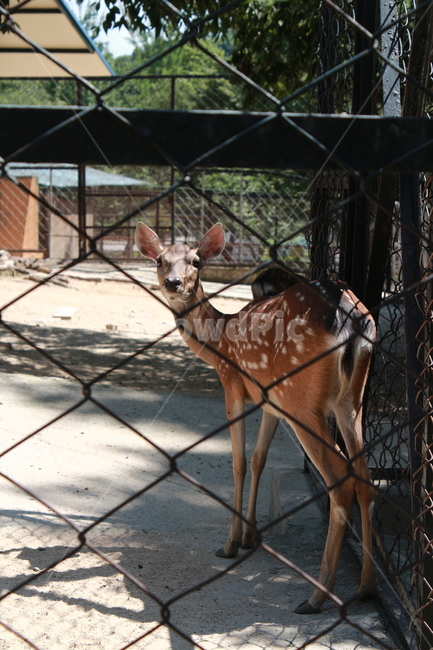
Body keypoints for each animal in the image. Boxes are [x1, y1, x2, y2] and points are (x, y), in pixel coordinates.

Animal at [135, 221, 376, 614]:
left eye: (197, 261)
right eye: (159, 259)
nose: (173, 283)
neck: (219, 343)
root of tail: (352, 321)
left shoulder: (232, 385)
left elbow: (238, 461)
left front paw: (230, 543)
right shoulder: (269, 403)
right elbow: (260, 458)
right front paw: (249, 536)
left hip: (301, 399)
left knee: (339, 477)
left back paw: (316, 596)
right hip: (349, 400)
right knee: (365, 477)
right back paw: (366, 586)